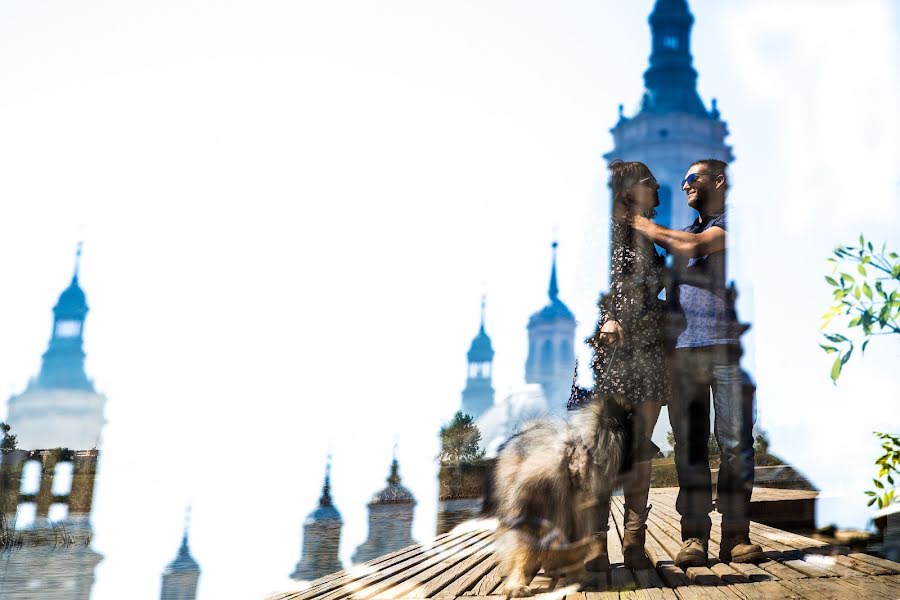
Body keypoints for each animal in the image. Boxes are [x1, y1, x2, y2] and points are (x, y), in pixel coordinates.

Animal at [488, 396, 628, 596]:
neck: (573, 464)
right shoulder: (532, 520)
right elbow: (524, 555)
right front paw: (517, 586)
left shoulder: (579, 523)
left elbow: (574, 553)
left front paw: (577, 579)